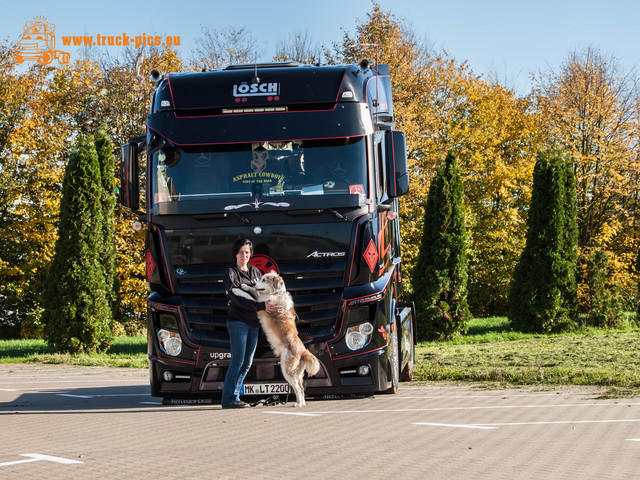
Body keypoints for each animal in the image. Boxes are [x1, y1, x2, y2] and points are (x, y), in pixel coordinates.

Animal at [230, 272, 320, 406]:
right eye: (260, 278)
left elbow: (250, 297)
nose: (254, 282)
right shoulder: (261, 297)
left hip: (287, 370)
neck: (275, 294)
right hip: (296, 374)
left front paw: (237, 290)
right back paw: (301, 403)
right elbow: (253, 292)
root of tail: (303, 351)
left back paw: (298, 404)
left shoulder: (262, 305)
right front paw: (245, 286)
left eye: (264, 280)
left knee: (298, 389)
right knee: (301, 388)